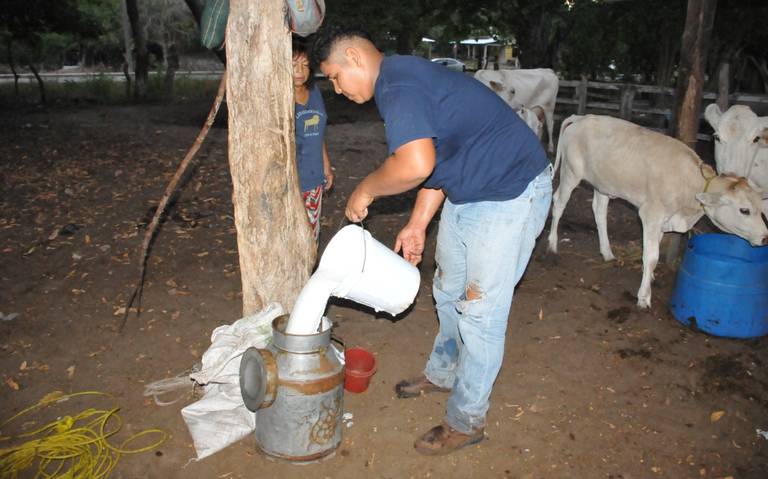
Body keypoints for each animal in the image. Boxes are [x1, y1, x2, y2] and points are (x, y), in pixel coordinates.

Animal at [544, 114, 768, 310]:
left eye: (760, 208)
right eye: (744, 210)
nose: (765, 237)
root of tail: (582, 117)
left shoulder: (662, 221)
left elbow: (654, 252)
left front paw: (649, 277)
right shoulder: (651, 214)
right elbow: (651, 256)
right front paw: (644, 297)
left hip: (603, 184)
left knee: (599, 211)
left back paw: (607, 252)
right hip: (571, 173)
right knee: (559, 203)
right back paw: (552, 244)